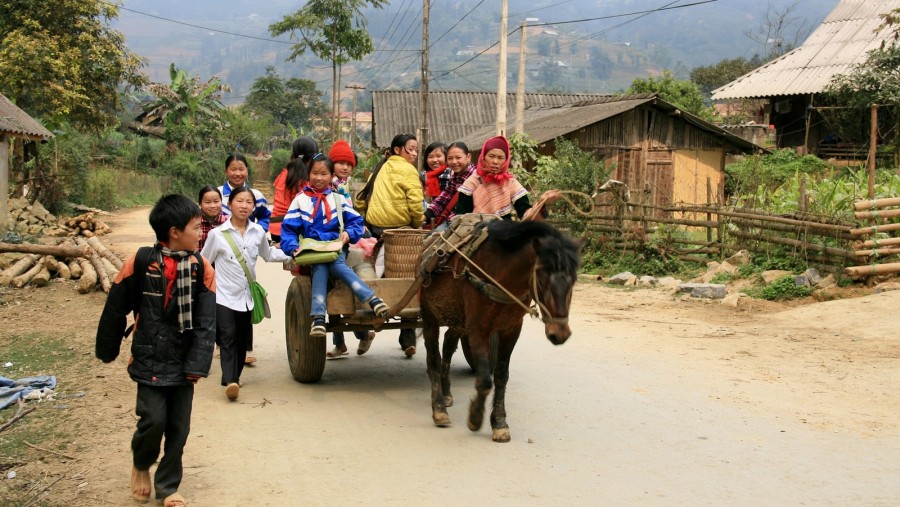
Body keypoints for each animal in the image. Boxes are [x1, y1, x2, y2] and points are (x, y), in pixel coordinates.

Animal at [418, 220, 580, 442]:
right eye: (541, 278)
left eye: (574, 279)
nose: (560, 333)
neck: (500, 276)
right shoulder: (478, 328)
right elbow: (485, 379)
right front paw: (476, 417)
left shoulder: (511, 329)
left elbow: (501, 375)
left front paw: (499, 422)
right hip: (430, 317)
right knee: (433, 358)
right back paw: (439, 408)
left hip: (457, 319)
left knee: (448, 346)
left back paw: (447, 392)